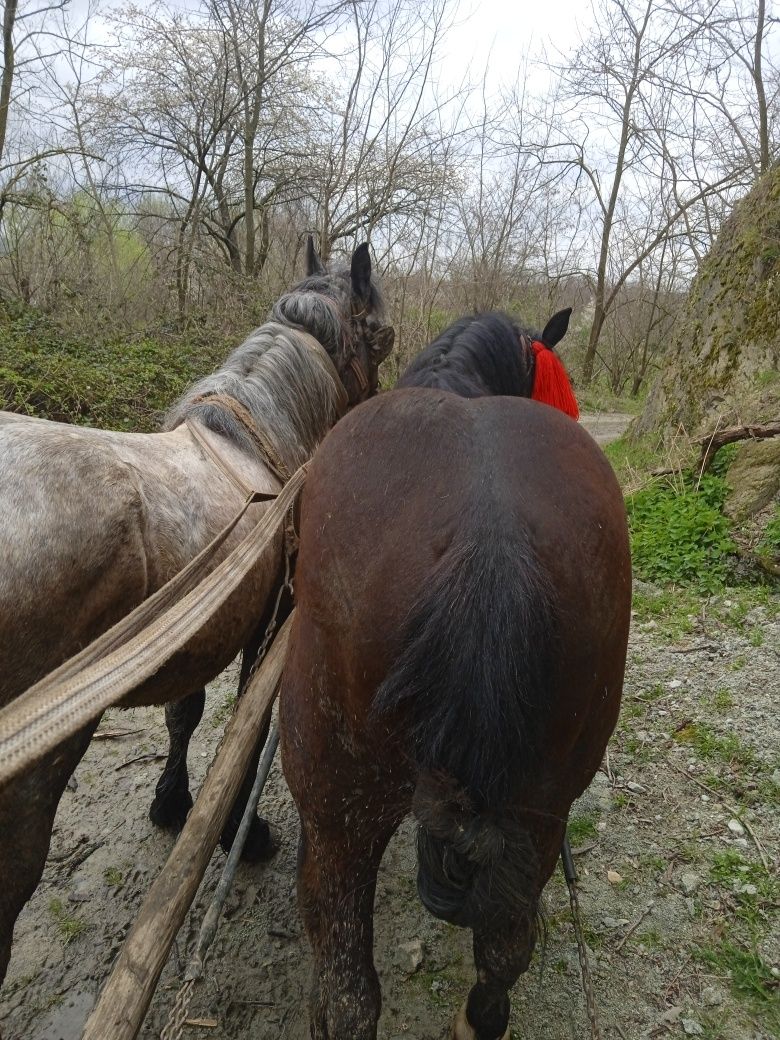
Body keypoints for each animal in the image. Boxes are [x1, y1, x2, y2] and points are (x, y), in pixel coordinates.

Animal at [0, 239, 393, 985]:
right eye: (383, 337)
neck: (248, 444)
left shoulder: (204, 631)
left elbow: (185, 713)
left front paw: (172, 801)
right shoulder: (268, 619)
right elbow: (246, 719)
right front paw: (244, 825)